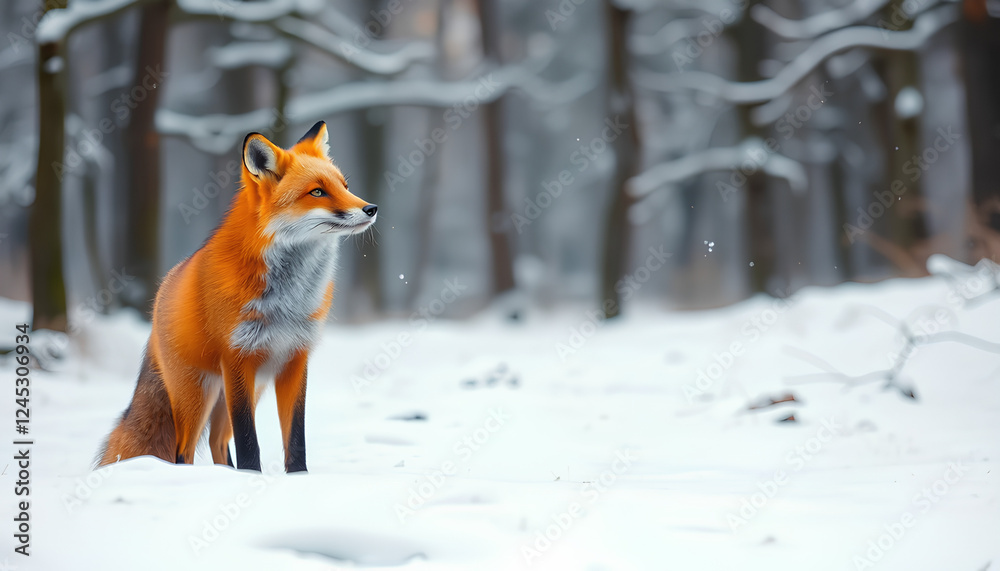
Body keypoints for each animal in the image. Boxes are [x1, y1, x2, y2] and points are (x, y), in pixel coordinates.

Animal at [97, 121, 376, 472]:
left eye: (345, 185)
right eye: (317, 192)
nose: (371, 208)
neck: (287, 300)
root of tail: (162, 292)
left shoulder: (294, 360)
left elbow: (295, 438)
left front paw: (298, 478)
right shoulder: (237, 360)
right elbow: (248, 443)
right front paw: (254, 477)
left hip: (238, 392)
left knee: (217, 442)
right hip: (198, 395)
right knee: (182, 452)